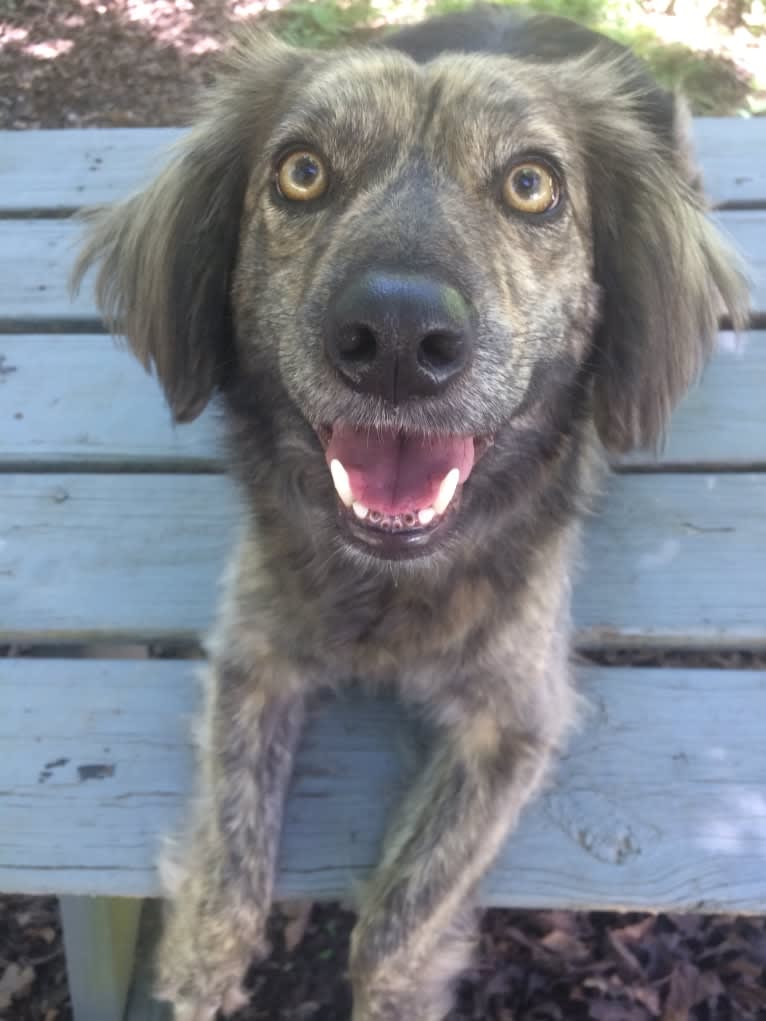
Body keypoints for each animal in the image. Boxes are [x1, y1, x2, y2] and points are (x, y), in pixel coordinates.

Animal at [73, 9, 751, 1021]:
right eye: (301, 171)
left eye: (531, 184)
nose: (396, 337)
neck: (388, 583)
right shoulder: (252, 653)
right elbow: (231, 858)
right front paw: (197, 972)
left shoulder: (517, 719)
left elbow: (399, 920)